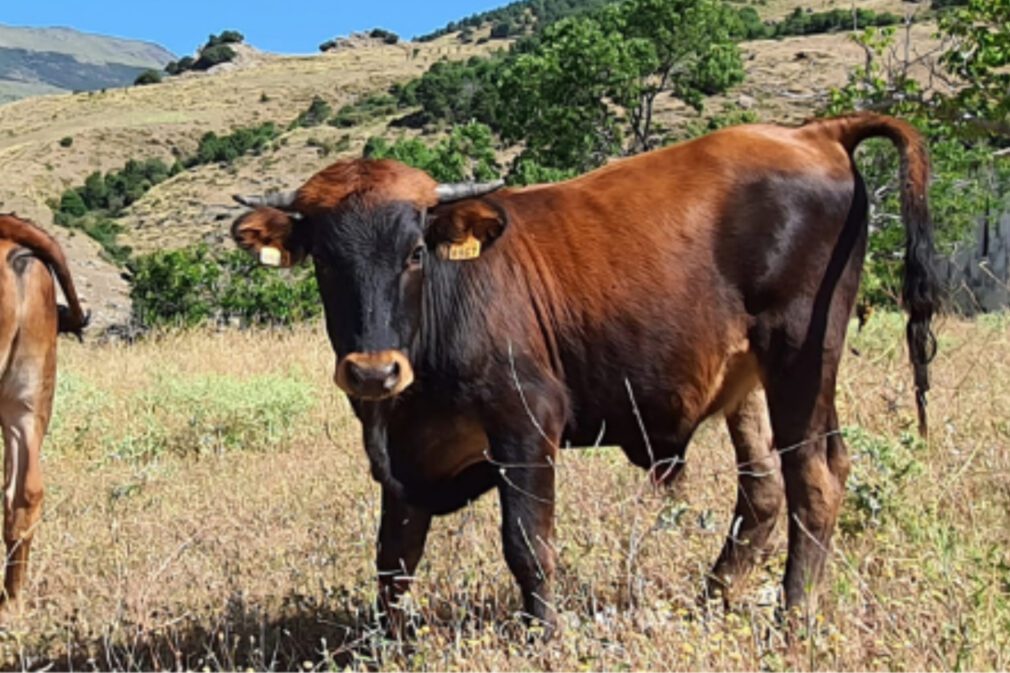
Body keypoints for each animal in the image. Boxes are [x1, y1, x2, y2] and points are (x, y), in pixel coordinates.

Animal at [231, 114, 937, 634]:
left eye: (413, 253)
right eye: (325, 260)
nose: (373, 371)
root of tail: (814, 133)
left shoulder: (525, 424)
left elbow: (527, 544)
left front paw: (542, 633)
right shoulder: (399, 459)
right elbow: (393, 561)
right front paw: (389, 641)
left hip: (801, 357)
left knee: (814, 478)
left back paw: (792, 618)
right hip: (756, 380)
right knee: (766, 491)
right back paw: (712, 600)